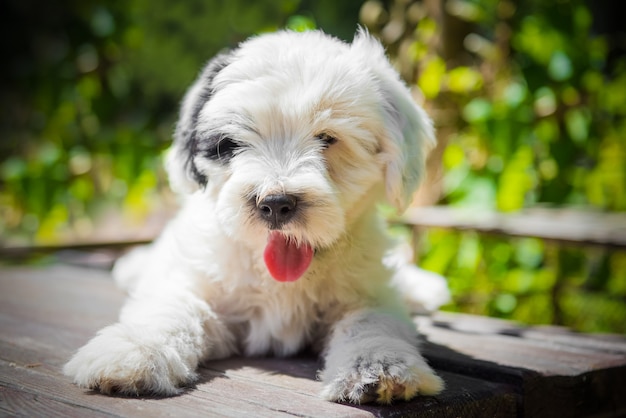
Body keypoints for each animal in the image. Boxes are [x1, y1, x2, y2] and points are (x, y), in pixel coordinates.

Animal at [63, 28, 444, 402]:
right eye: (230, 144)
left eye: (327, 138)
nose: (276, 203)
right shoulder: (196, 284)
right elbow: (169, 307)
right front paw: (133, 351)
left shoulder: (368, 293)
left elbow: (371, 321)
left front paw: (379, 366)